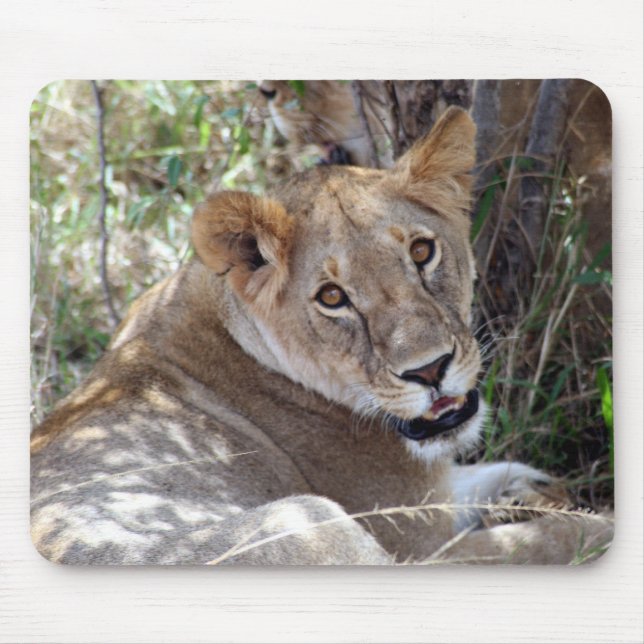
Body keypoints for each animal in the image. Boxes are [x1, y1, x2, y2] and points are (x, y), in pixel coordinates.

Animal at [30, 107, 612, 565]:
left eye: (422, 252)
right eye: (333, 298)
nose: (430, 370)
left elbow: (480, 476)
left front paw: (529, 487)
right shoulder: (419, 540)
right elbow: (562, 537)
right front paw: (586, 519)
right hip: (303, 522)